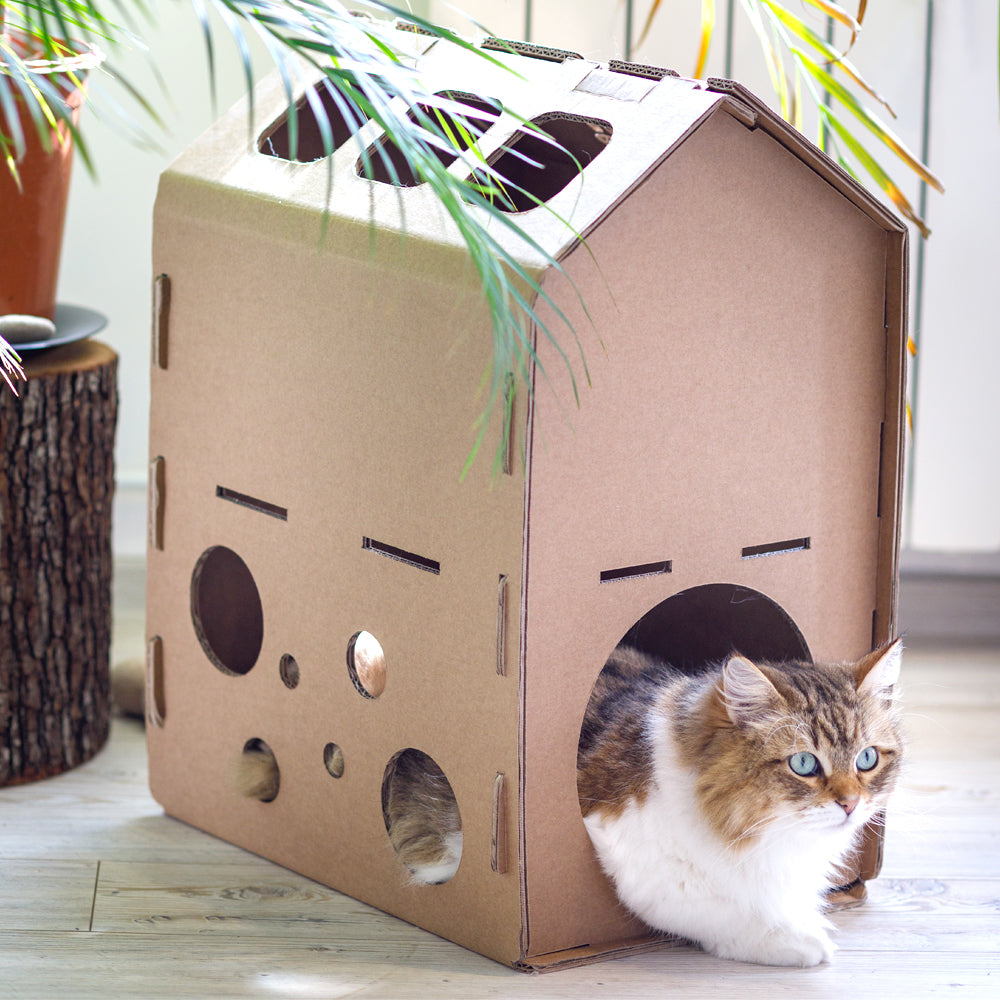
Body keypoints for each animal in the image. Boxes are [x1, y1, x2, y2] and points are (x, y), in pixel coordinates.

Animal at [580, 640, 908, 968]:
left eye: (867, 758)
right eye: (803, 763)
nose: (851, 804)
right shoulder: (631, 855)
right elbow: (724, 910)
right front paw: (802, 938)